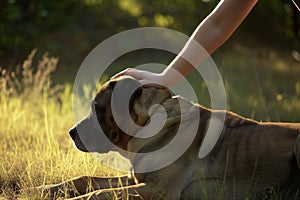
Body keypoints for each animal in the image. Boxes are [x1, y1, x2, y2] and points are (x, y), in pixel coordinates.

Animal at [42, 76, 300, 199]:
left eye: (96, 108)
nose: (71, 133)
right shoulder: (136, 179)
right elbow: (85, 180)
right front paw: (46, 188)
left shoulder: (159, 189)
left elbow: (99, 194)